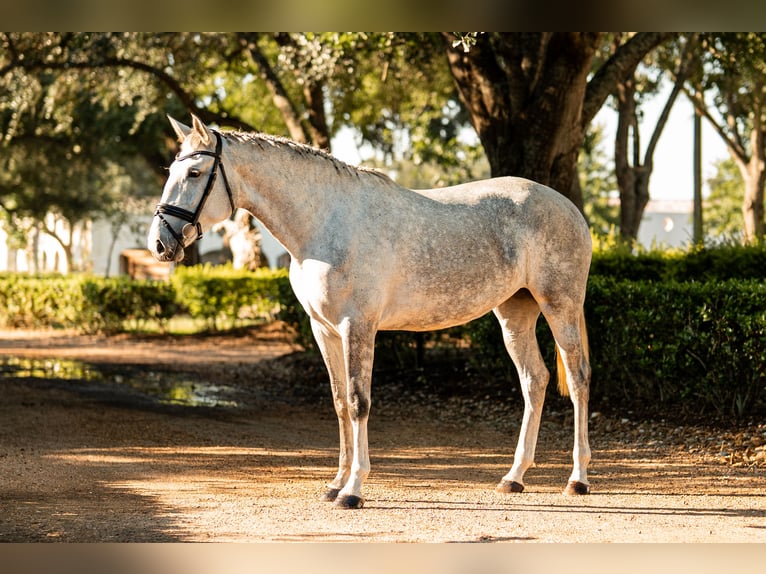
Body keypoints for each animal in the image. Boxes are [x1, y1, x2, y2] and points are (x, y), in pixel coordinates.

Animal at [148, 115, 592, 509]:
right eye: (171, 171)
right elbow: (340, 402)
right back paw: (514, 477)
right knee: (535, 381)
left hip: (560, 305)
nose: (160, 243)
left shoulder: (356, 327)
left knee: (578, 378)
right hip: (515, 312)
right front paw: (334, 484)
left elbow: (360, 401)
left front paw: (354, 490)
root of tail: (570, 208)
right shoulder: (323, 330)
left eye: (195, 173)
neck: (324, 222)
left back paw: (578, 479)